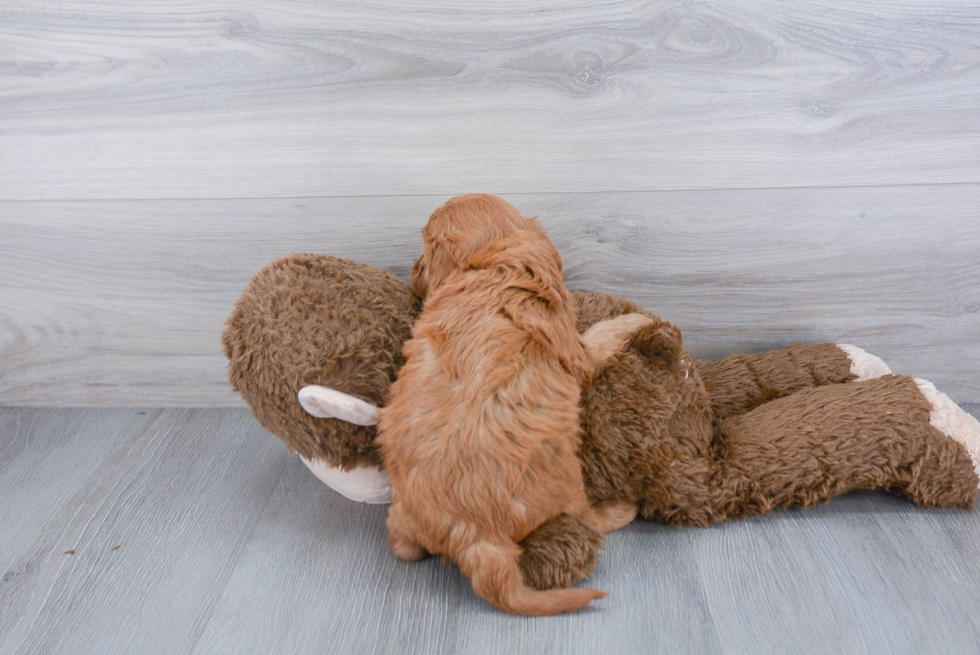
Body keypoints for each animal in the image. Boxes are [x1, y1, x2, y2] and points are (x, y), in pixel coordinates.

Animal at [376, 195, 636, 616]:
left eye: (425, 250)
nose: (412, 272)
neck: (492, 260)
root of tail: (476, 536)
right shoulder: (575, 349)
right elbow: (601, 336)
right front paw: (635, 320)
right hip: (568, 480)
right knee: (588, 519)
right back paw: (620, 509)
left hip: (401, 511)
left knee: (403, 547)